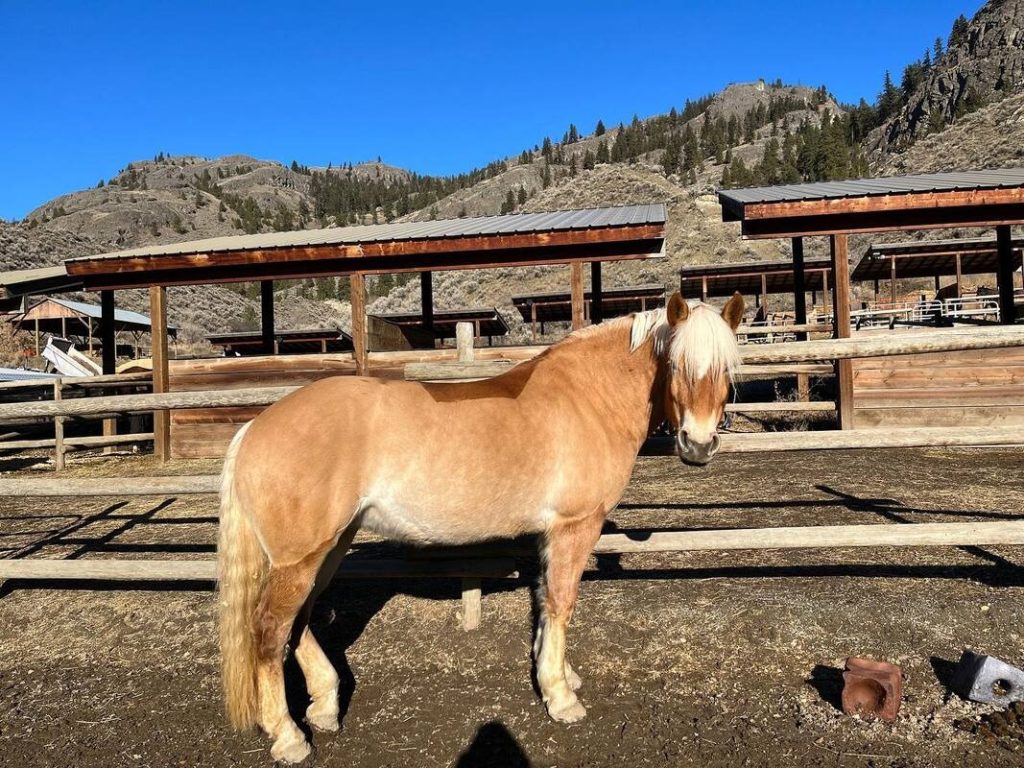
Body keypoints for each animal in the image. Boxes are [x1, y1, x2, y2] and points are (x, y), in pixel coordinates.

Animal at [217, 290, 744, 762]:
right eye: (677, 365)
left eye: (726, 371)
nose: (698, 446)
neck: (587, 397)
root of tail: (255, 428)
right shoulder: (574, 527)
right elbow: (562, 602)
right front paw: (561, 696)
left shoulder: (548, 536)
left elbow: (545, 600)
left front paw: (558, 674)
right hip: (301, 557)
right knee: (269, 631)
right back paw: (289, 737)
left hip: (327, 548)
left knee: (299, 621)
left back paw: (325, 707)